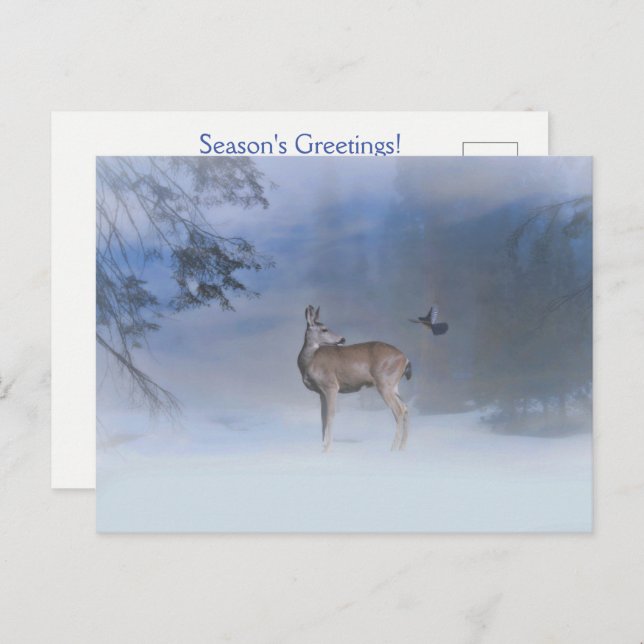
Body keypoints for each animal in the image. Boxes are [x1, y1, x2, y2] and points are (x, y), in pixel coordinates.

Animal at [297, 305, 412, 452]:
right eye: (324, 329)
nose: (342, 339)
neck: (309, 362)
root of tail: (405, 359)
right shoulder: (321, 392)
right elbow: (323, 417)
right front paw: (322, 447)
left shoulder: (331, 385)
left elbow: (330, 415)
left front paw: (327, 449)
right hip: (393, 386)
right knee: (406, 407)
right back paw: (402, 448)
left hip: (384, 383)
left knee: (399, 410)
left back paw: (392, 449)